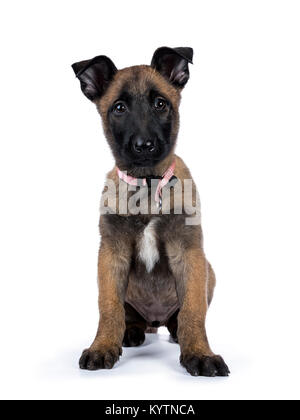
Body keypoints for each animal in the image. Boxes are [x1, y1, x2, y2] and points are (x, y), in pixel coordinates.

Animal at [71, 46, 230, 378]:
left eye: (160, 104)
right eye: (119, 108)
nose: (144, 145)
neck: (147, 185)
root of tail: (154, 321)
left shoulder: (189, 253)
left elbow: (194, 311)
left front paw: (200, 353)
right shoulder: (111, 254)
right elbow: (109, 307)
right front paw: (102, 346)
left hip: (209, 271)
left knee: (179, 317)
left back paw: (175, 330)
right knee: (130, 317)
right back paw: (130, 332)